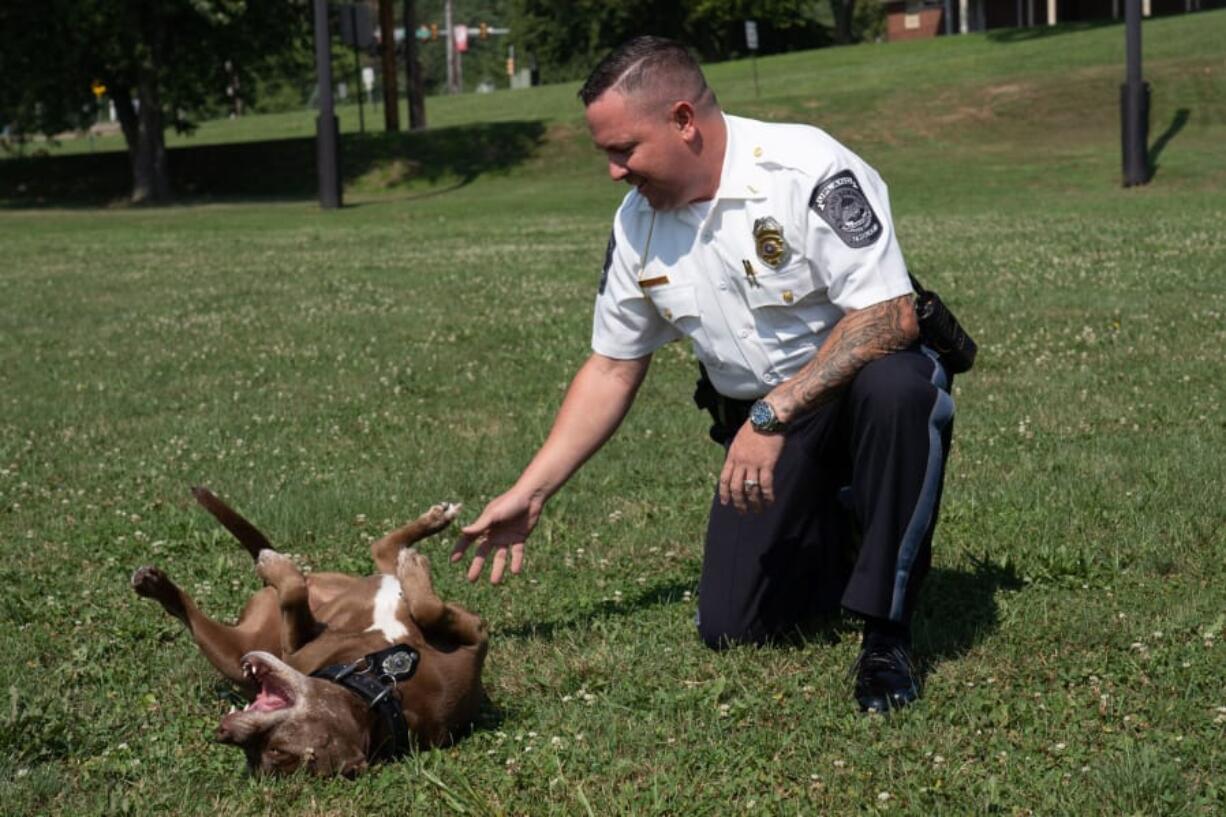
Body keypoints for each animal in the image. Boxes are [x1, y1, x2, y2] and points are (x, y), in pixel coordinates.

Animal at [128, 485, 483, 775]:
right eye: (257, 754)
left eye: (275, 751)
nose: (224, 734)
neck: (384, 683)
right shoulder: (301, 643)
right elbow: (294, 592)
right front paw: (276, 566)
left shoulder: (476, 638)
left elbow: (428, 609)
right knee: (380, 550)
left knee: (383, 553)